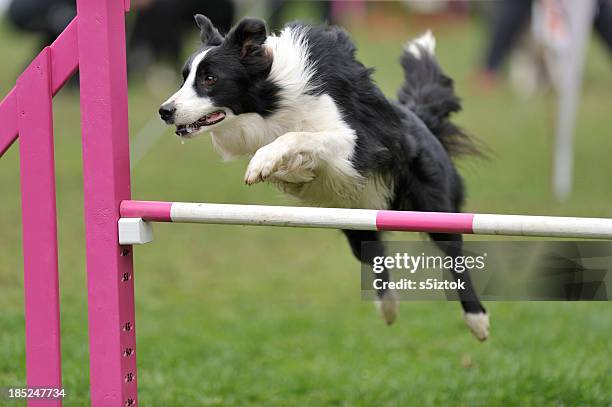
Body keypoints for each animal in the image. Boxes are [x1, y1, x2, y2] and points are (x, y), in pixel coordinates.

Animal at [160, 15, 490, 342]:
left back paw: (477, 319)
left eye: (210, 79)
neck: (273, 97)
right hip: (357, 222)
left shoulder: (353, 142)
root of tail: (421, 119)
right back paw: (388, 307)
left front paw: (263, 163)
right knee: (375, 254)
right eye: (184, 77)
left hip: (435, 208)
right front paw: (290, 170)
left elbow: (298, 136)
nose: (165, 111)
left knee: (454, 256)